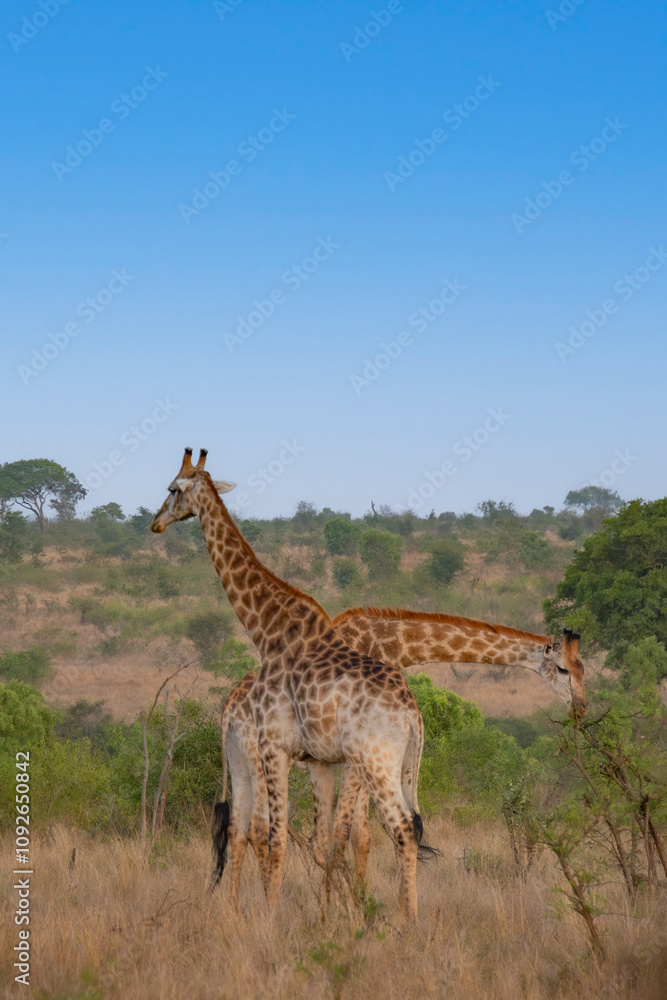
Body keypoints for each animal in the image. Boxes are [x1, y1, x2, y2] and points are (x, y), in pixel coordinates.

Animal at [151, 448, 432, 919]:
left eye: (173, 488)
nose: (154, 523)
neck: (268, 630)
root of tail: (412, 713)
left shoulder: (273, 745)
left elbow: (277, 838)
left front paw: (271, 918)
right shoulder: (320, 760)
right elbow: (321, 842)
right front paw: (326, 918)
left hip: (374, 762)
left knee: (401, 829)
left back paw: (409, 922)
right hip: (402, 764)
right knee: (409, 826)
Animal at [215, 607, 586, 900]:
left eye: (584, 669)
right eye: (563, 669)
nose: (580, 709)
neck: (391, 645)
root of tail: (228, 710)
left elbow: (360, 835)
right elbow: (361, 835)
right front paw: (360, 904)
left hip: (242, 763)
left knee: (240, 831)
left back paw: (235, 915)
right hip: (262, 758)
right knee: (261, 830)